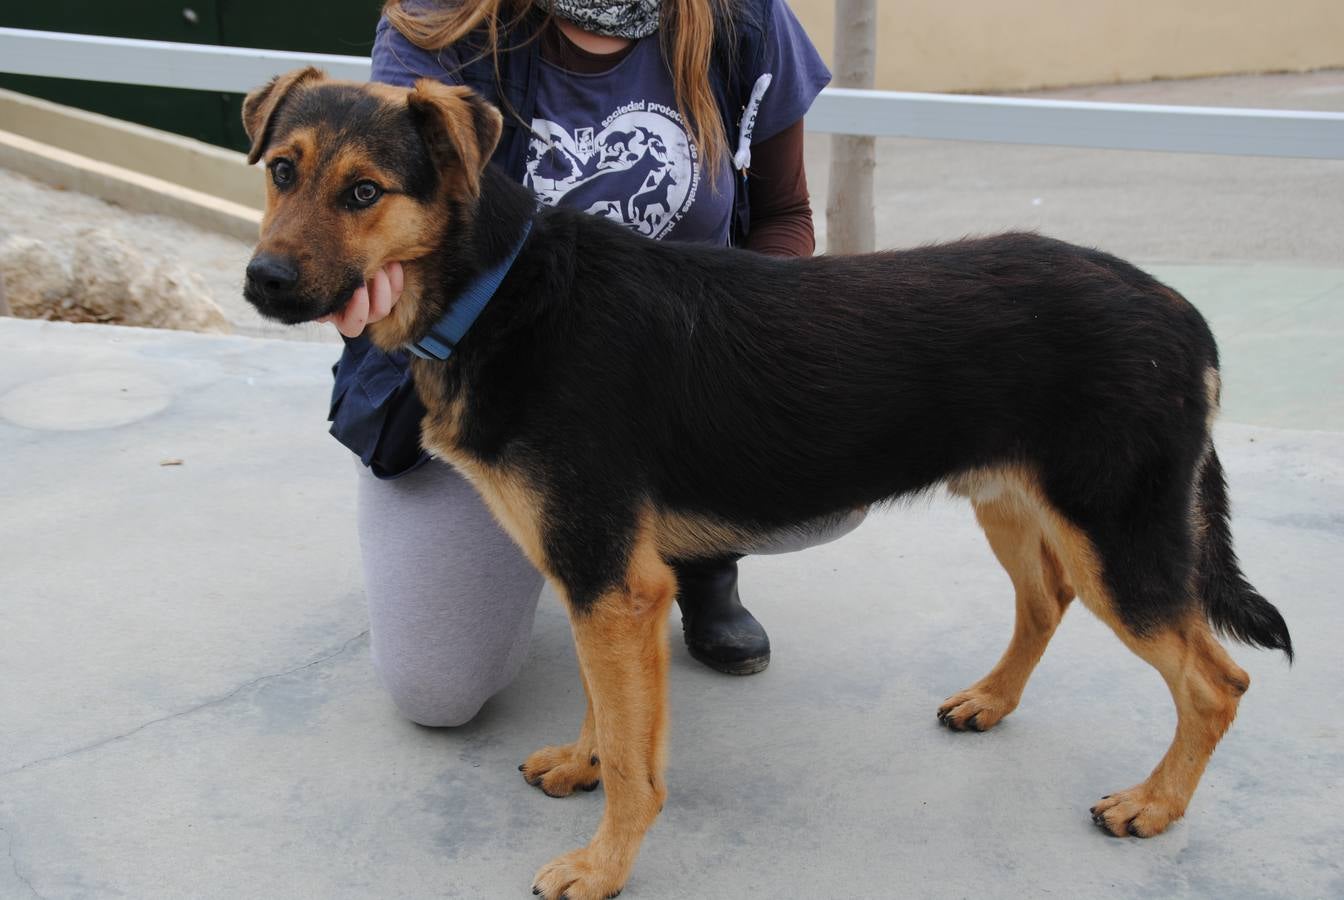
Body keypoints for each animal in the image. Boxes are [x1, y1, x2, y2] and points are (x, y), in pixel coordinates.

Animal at [239, 70, 1290, 900]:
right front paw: (581, 767)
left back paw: (1153, 805)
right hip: (1016, 505)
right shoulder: (600, 582)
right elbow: (605, 712)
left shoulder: (609, 582)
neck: (498, 288)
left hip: (1118, 540)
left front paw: (603, 866)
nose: (260, 283)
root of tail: (1181, 312)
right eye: (282, 171)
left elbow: (637, 759)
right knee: (1047, 600)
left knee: (1217, 682)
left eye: (365, 191)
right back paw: (990, 702)